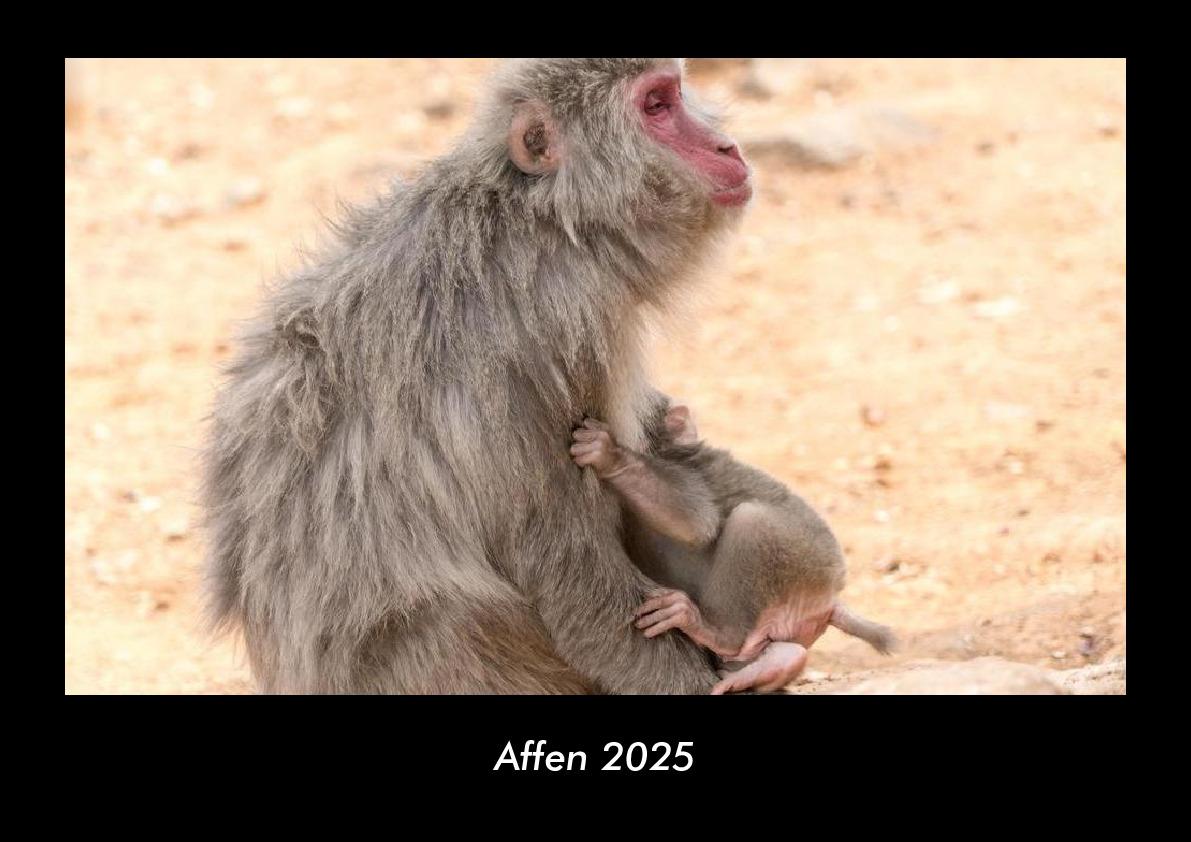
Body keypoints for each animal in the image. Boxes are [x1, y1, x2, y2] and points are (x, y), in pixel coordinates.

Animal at [201, 59, 755, 694]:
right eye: (657, 106)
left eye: (675, 92)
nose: (726, 146)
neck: (544, 218)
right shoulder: (562, 329)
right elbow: (565, 565)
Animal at [570, 405, 896, 694]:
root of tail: (830, 599)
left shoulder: (689, 471)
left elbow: (696, 521)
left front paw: (609, 455)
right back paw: (777, 663)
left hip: (808, 560)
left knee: (751, 521)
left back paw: (714, 631)